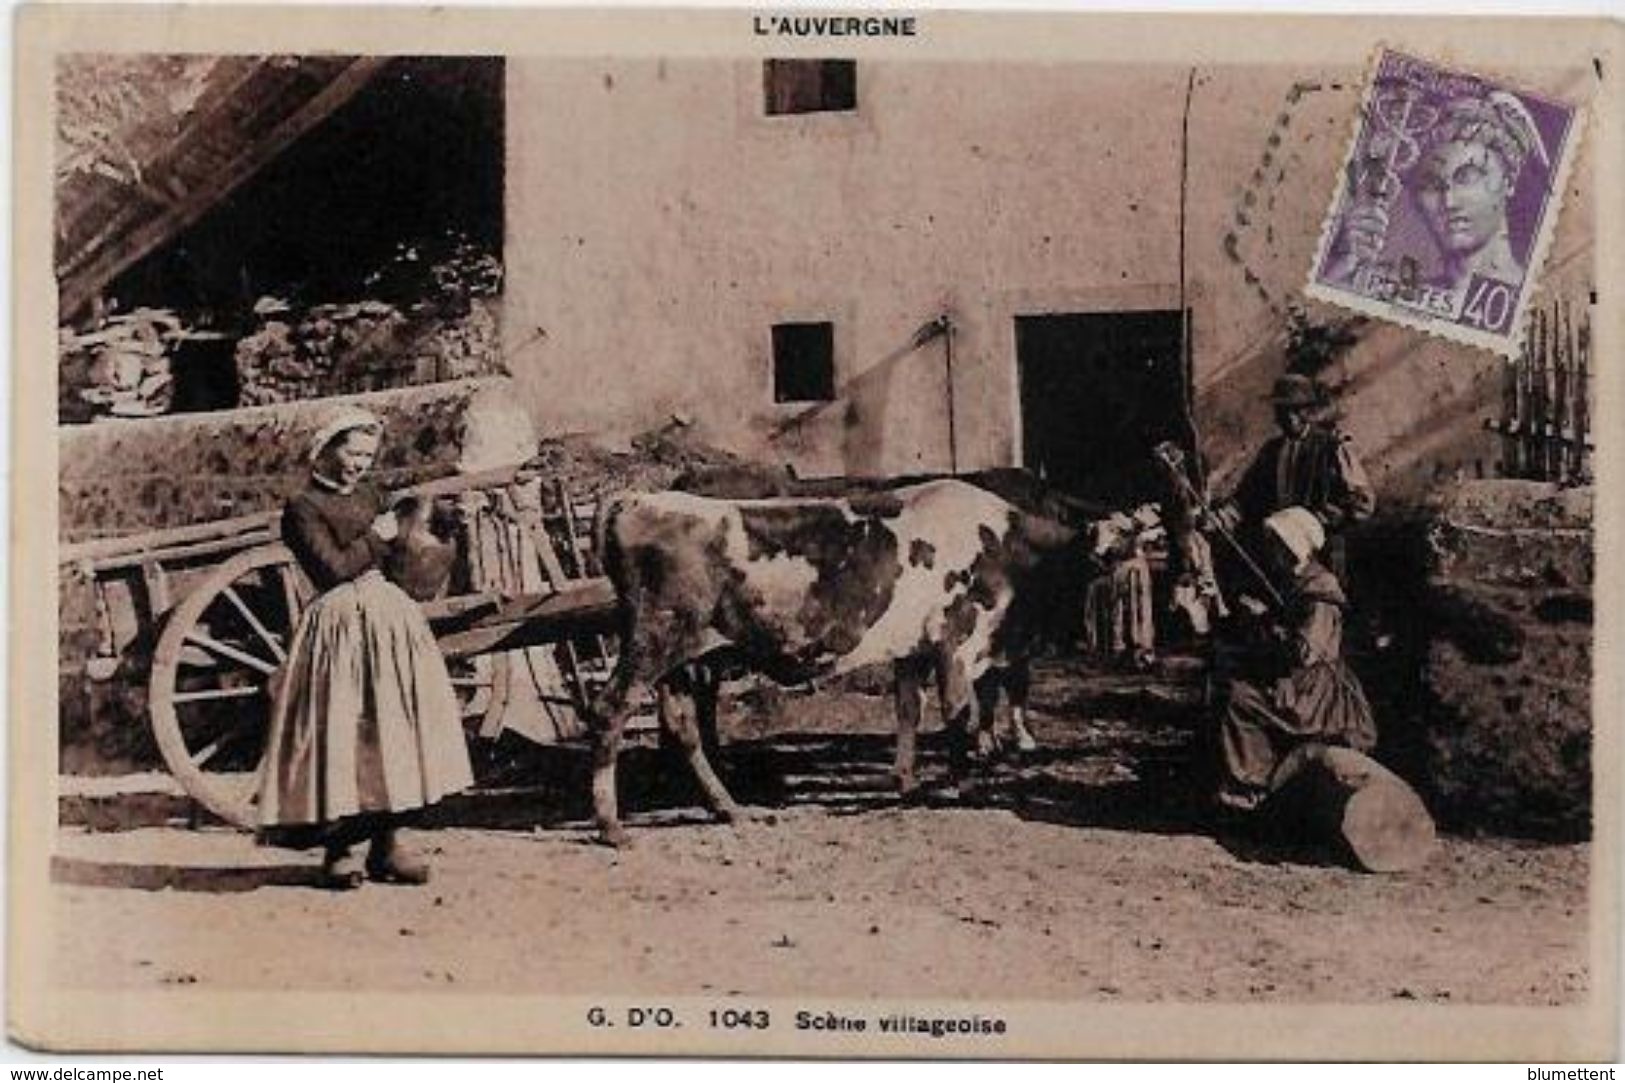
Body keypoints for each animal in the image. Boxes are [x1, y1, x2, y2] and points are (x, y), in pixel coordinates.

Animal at [588, 478, 1079, 845]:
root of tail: (638, 498)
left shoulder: (912, 650)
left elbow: (908, 711)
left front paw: (907, 782)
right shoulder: (954, 642)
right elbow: (957, 714)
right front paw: (966, 786)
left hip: (679, 659)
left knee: (682, 724)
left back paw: (728, 808)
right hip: (653, 641)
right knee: (611, 708)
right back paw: (612, 826)